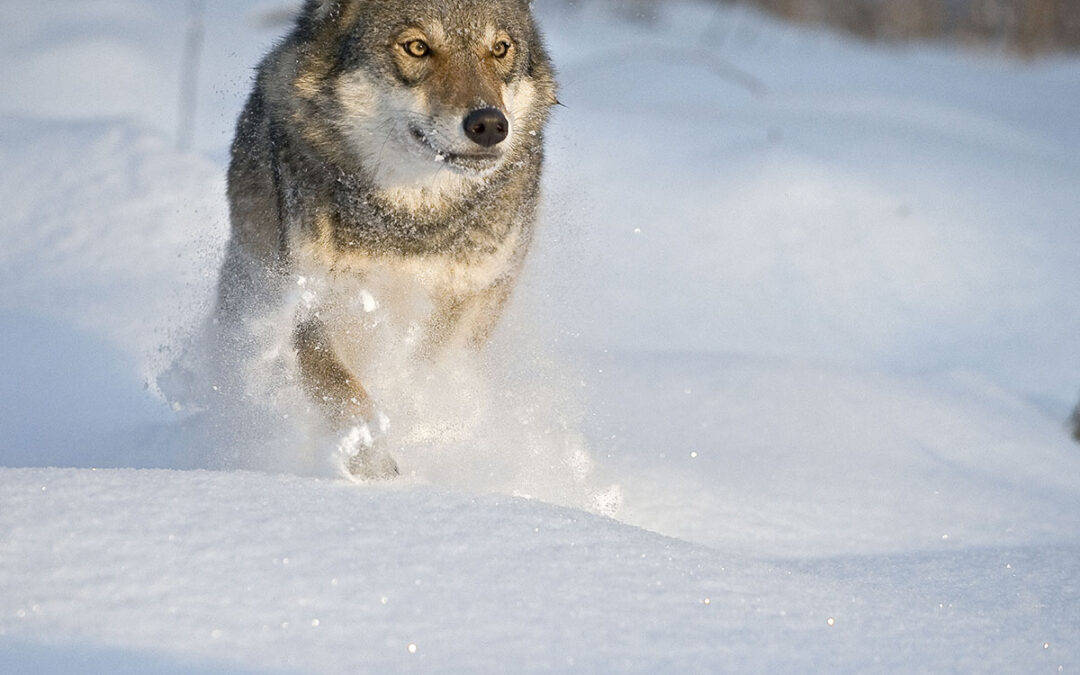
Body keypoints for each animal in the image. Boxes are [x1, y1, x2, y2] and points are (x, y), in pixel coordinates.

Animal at [215, 0, 557, 478]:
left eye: (500, 49)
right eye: (417, 47)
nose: (489, 124)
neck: (413, 220)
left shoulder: (474, 295)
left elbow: (427, 372)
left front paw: (421, 424)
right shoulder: (313, 299)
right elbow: (344, 391)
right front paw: (374, 466)